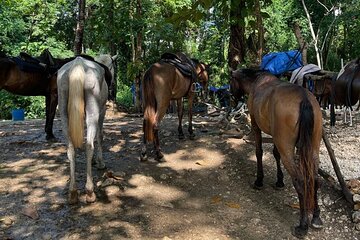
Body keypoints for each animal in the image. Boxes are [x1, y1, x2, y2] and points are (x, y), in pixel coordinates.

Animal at [57, 54, 116, 204]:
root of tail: (78, 64)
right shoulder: (102, 111)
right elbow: (99, 136)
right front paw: (100, 162)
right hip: (93, 110)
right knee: (89, 146)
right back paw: (90, 191)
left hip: (64, 110)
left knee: (71, 149)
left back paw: (72, 192)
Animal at [231, 68, 324, 237]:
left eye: (231, 81)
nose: (232, 98)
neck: (256, 83)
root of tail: (304, 99)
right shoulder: (275, 137)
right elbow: (275, 154)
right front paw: (279, 181)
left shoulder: (256, 126)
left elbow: (259, 152)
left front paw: (259, 180)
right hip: (312, 149)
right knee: (315, 179)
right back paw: (316, 218)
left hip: (287, 148)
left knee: (300, 181)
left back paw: (303, 225)